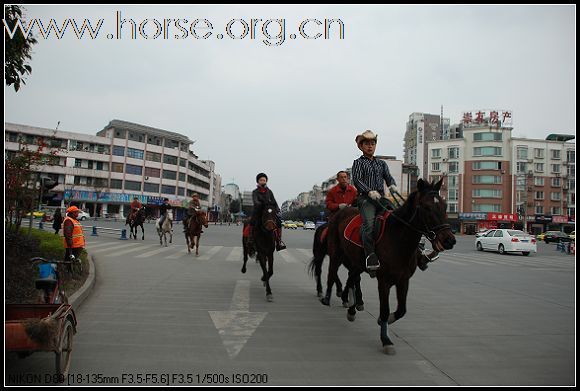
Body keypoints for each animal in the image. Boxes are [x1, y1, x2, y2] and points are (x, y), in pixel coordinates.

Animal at [326, 181, 454, 356]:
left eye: (445, 206)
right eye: (427, 207)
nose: (449, 240)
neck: (398, 238)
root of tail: (341, 212)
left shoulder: (403, 280)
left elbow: (401, 310)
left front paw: (384, 321)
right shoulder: (384, 282)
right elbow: (385, 309)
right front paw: (386, 340)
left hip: (356, 262)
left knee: (352, 278)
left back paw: (351, 307)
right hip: (337, 255)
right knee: (334, 273)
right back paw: (327, 298)